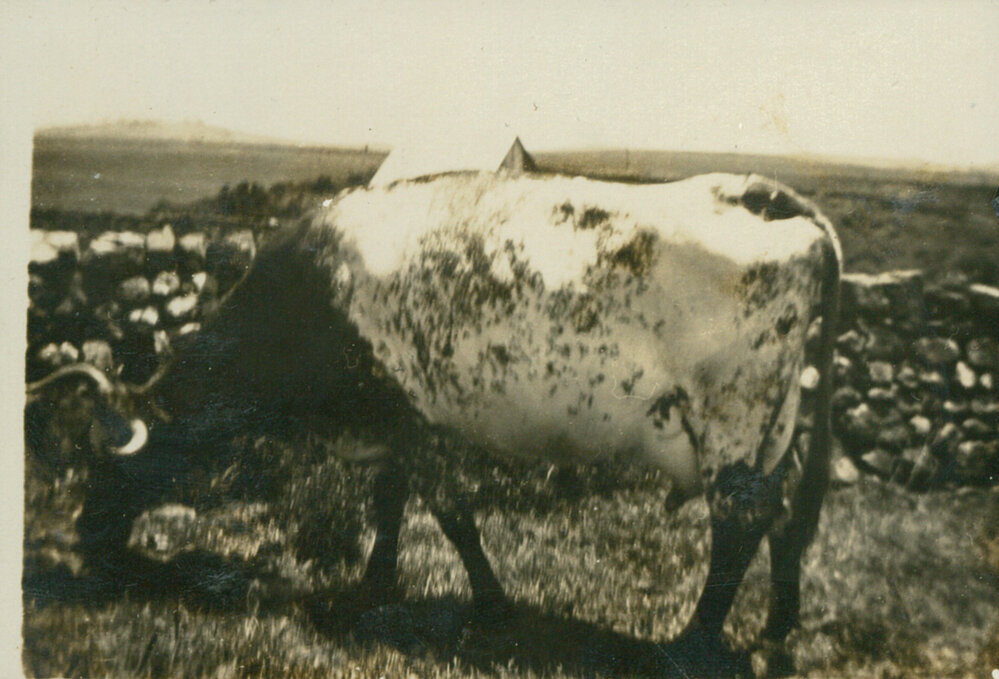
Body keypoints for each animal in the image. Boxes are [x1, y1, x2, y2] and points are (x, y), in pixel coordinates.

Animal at [29, 171, 840, 672]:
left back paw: (690, 643)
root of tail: (752, 191)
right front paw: (375, 582)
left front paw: (492, 605)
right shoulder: (390, 424)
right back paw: (776, 623)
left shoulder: (416, 420)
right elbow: (389, 501)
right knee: (782, 515)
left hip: (731, 413)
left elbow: (451, 514)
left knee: (740, 518)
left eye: (104, 468)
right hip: (774, 424)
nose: (83, 542)